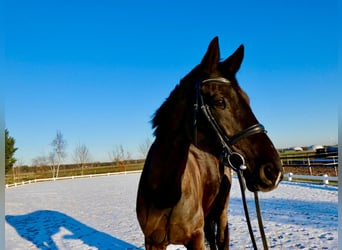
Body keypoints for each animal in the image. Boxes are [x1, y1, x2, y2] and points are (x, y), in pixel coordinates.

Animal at [136, 37, 284, 250]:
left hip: (221, 215)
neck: (164, 193)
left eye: (247, 100)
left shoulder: (195, 239)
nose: (273, 170)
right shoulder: (152, 242)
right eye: (219, 101)